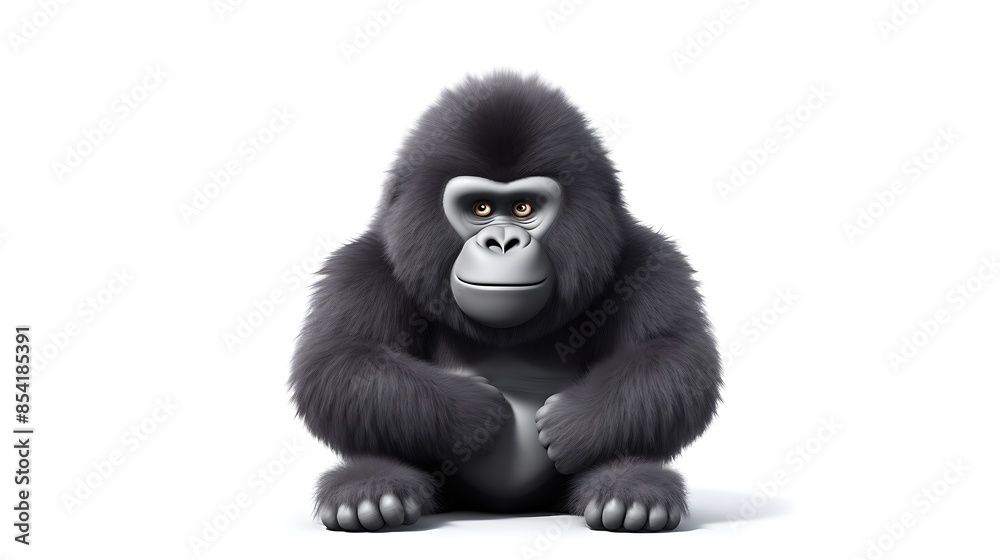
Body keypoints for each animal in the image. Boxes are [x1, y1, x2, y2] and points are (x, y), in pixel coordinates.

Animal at [289, 70, 722, 532]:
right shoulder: (363, 266)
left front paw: (573, 420)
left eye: (523, 207)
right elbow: (339, 361)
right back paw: (372, 489)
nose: (502, 242)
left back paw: (629, 489)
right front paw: (469, 412)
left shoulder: (649, 261)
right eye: (480, 208)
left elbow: (674, 358)